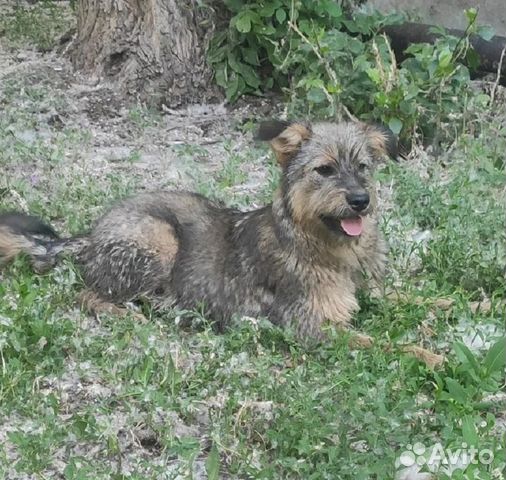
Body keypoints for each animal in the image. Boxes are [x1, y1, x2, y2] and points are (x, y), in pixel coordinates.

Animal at [0, 121, 442, 368]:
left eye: (363, 168)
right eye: (325, 170)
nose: (361, 201)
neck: (332, 247)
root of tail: (90, 235)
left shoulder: (374, 291)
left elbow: (415, 297)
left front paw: (456, 303)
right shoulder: (311, 329)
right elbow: (387, 344)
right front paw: (433, 356)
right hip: (161, 241)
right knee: (87, 294)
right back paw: (134, 314)